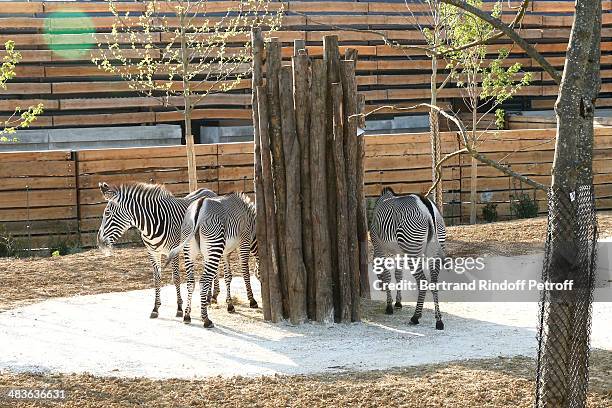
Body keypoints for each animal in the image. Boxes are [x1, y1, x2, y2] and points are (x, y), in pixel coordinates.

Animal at [96, 182, 218, 318]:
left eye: (107, 213)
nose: (99, 242)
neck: (151, 225)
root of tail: (208, 190)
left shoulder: (173, 251)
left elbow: (176, 278)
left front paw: (179, 308)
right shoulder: (152, 253)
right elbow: (157, 278)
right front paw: (156, 308)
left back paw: (213, 297)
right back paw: (208, 298)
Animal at [165, 192, 258, 328]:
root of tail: (199, 206)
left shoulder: (224, 252)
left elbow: (227, 276)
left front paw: (228, 304)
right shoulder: (244, 243)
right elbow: (245, 272)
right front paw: (252, 300)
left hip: (190, 250)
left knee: (191, 282)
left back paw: (187, 315)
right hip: (214, 245)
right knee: (203, 280)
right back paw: (206, 319)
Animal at [368, 188, 450, 332]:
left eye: (375, 270)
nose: (380, 287)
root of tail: (426, 205)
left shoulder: (379, 247)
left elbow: (388, 275)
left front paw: (389, 306)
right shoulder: (399, 254)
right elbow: (398, 275)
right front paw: (398, 302)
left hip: (412, 248)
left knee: (423, 282)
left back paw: (415, 317)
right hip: (435, 245)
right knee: (434, 281)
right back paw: (439, 320)